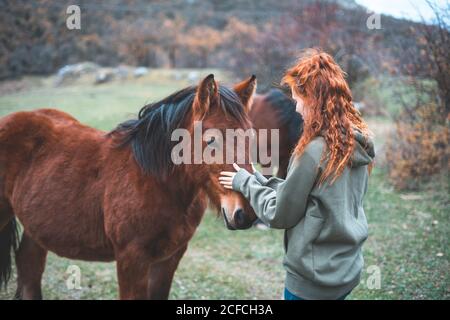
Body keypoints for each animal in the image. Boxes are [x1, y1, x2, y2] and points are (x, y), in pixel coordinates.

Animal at [0, 74, 256, 298]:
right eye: (212, 140)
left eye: (251, 138)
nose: (245, 214)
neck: (156, 180)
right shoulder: (132, 259)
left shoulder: (169, 259)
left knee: (29, 266)